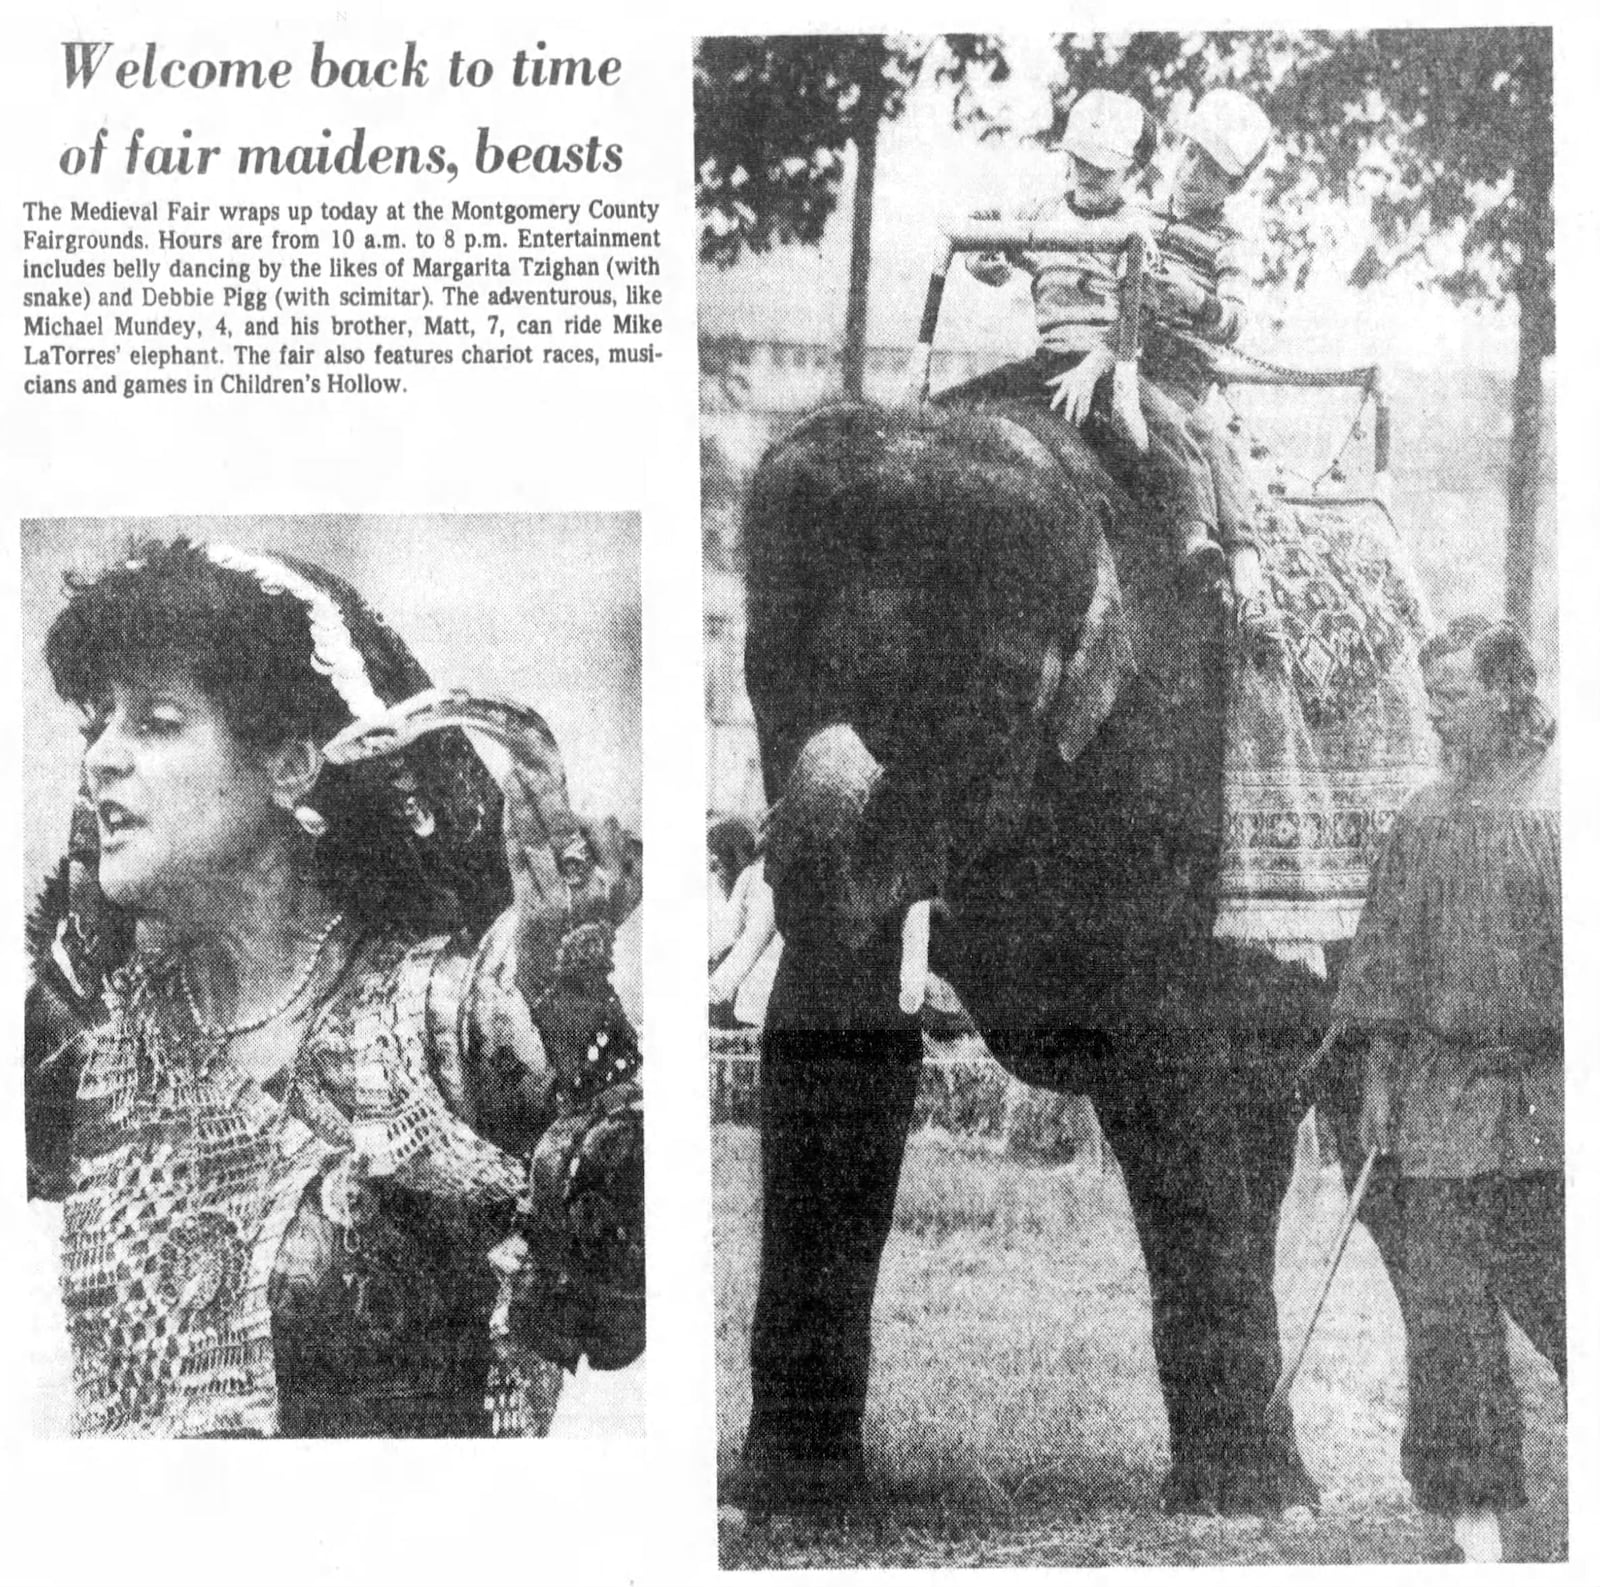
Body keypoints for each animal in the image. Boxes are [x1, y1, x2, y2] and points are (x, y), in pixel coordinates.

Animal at [726, 396, 1363, 1510]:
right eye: (771, 677)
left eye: (973, 696)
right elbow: (833, 1042)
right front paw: (788, 1494)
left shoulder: (1176, 766)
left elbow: (1172, 1069)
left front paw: (1243, 1500)